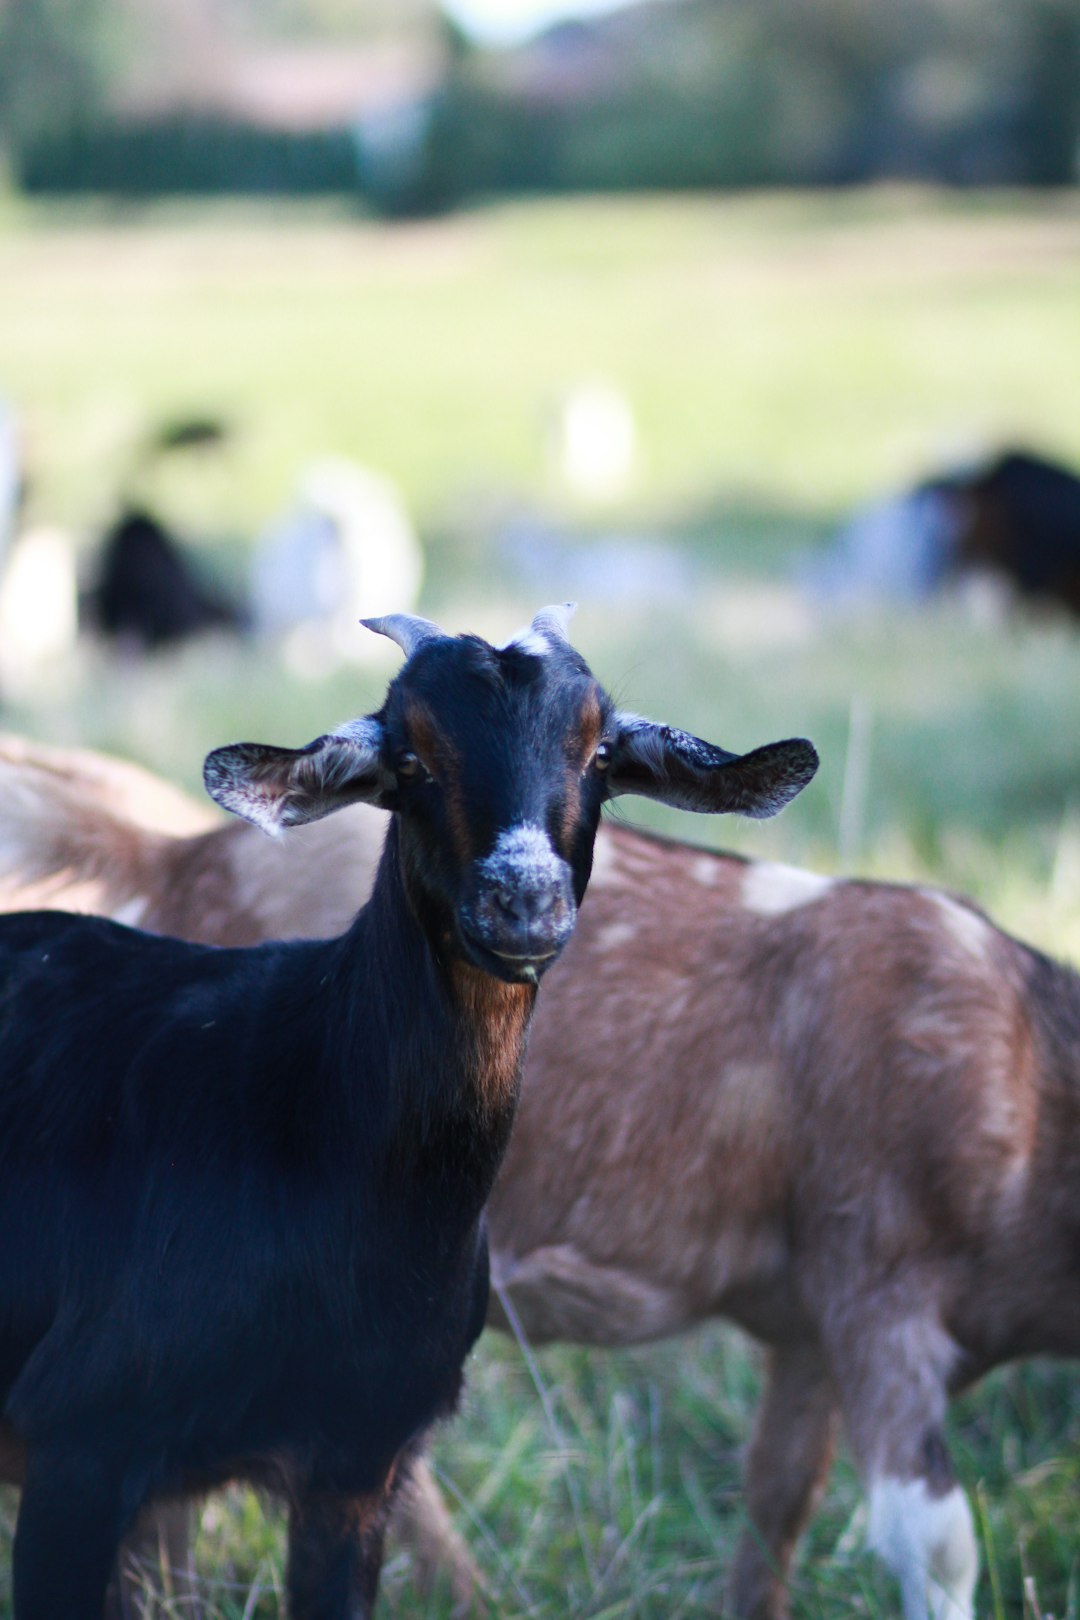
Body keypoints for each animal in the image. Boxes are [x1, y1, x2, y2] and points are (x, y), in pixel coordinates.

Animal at [0, 738, 1068, 1620]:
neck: (1027, 1061)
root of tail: (176, 854)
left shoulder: (806, 1328)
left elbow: (780, 1500)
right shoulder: (877, 1276)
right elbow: (935, 1542)